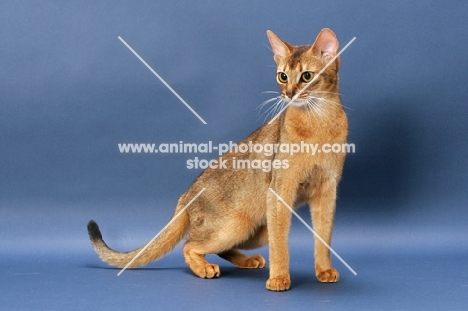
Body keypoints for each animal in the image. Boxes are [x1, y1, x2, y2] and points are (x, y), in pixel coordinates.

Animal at [89, 28, 350, 292]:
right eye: (283, 76)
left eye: (307, 76)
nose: (288, 94)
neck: (319, 120)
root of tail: (186, 194)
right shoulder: (279, 191)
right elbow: (280, 246)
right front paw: (278, 279)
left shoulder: (327, 191)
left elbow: (323, 237)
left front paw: (325, 271)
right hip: (235, 225)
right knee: (189, 244)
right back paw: (204, 268)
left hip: (256, 230)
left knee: (217, 247)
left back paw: (247, 261)